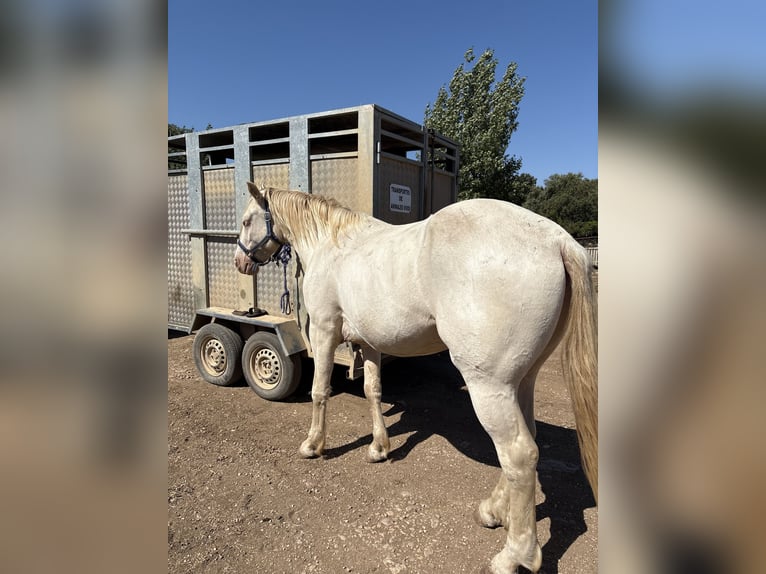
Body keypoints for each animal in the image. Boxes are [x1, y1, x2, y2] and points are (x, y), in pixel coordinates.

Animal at [234, 181, 597, 574]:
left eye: (246, 221)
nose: (240, 262)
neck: (332, 244)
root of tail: (557, 240)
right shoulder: (370, 342)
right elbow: (373, 391)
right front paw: (379, 448)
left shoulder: (324, 331)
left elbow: (320, 391)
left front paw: (313, 445)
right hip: (522, 380)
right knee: (526, 443)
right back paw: (493, 511)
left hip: (490, 386)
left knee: (518, 454)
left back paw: (515, 555)